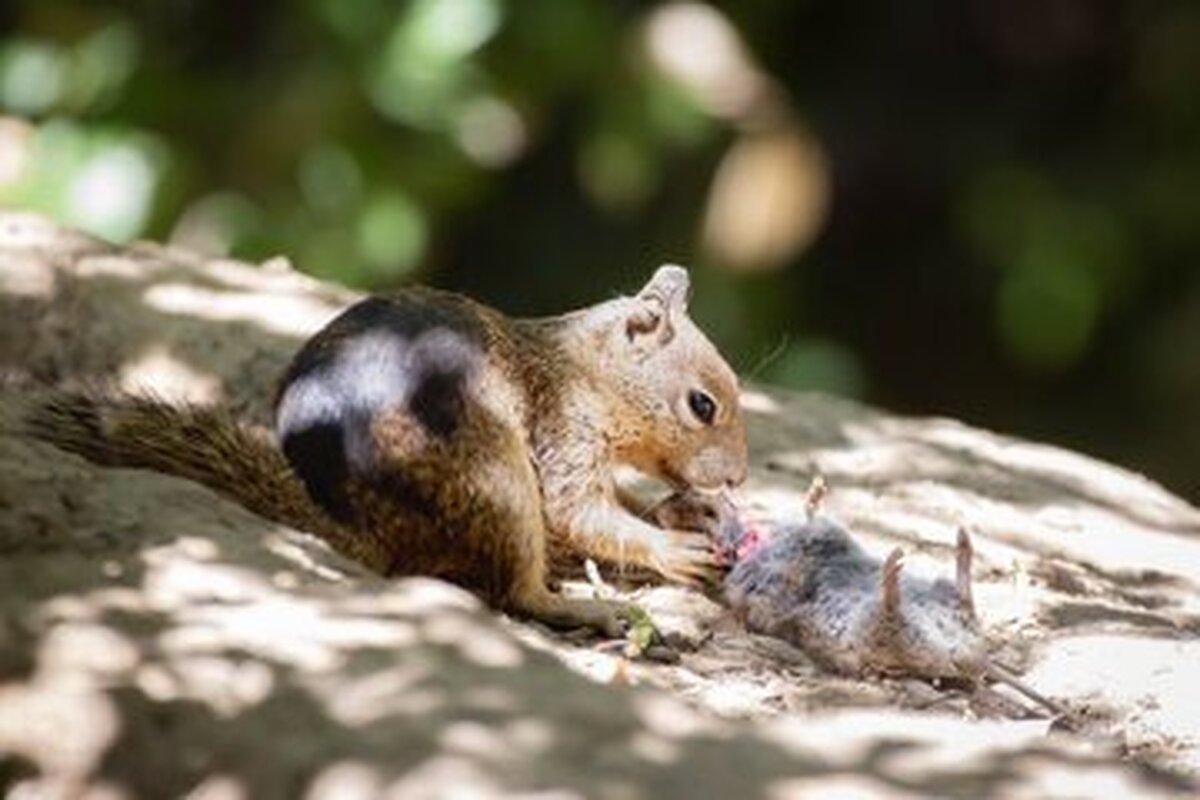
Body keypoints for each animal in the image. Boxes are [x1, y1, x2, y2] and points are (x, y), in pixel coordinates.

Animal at [32, 263, 744, 638]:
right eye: (702, 405)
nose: (738, 479)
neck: (583, 369)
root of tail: (363, 527)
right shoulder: (563, 430)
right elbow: (580, 513)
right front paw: (673, 547)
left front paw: (689, 513)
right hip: (498, 478)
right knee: (514, 592)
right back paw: (585, 607)